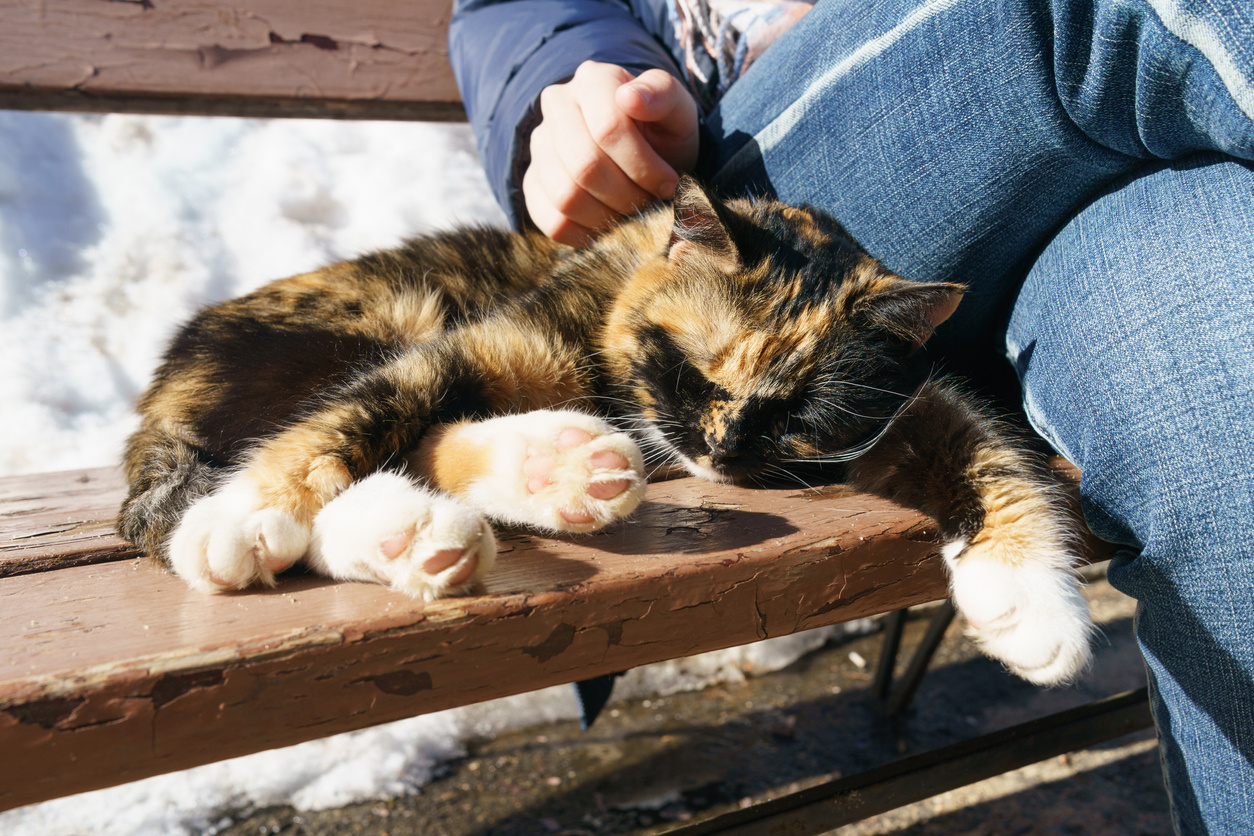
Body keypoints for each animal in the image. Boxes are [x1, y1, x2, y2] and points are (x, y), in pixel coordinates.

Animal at [119, 176, 1098, 686]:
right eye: (693, 372)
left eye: (797, 413)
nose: (720, 449)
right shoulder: (472, 346)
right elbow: (360, 412)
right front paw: (250, 512)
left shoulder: (890, 414)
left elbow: (986, 445)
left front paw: (1029, 604)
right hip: (397, 312)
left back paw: (529, 485)